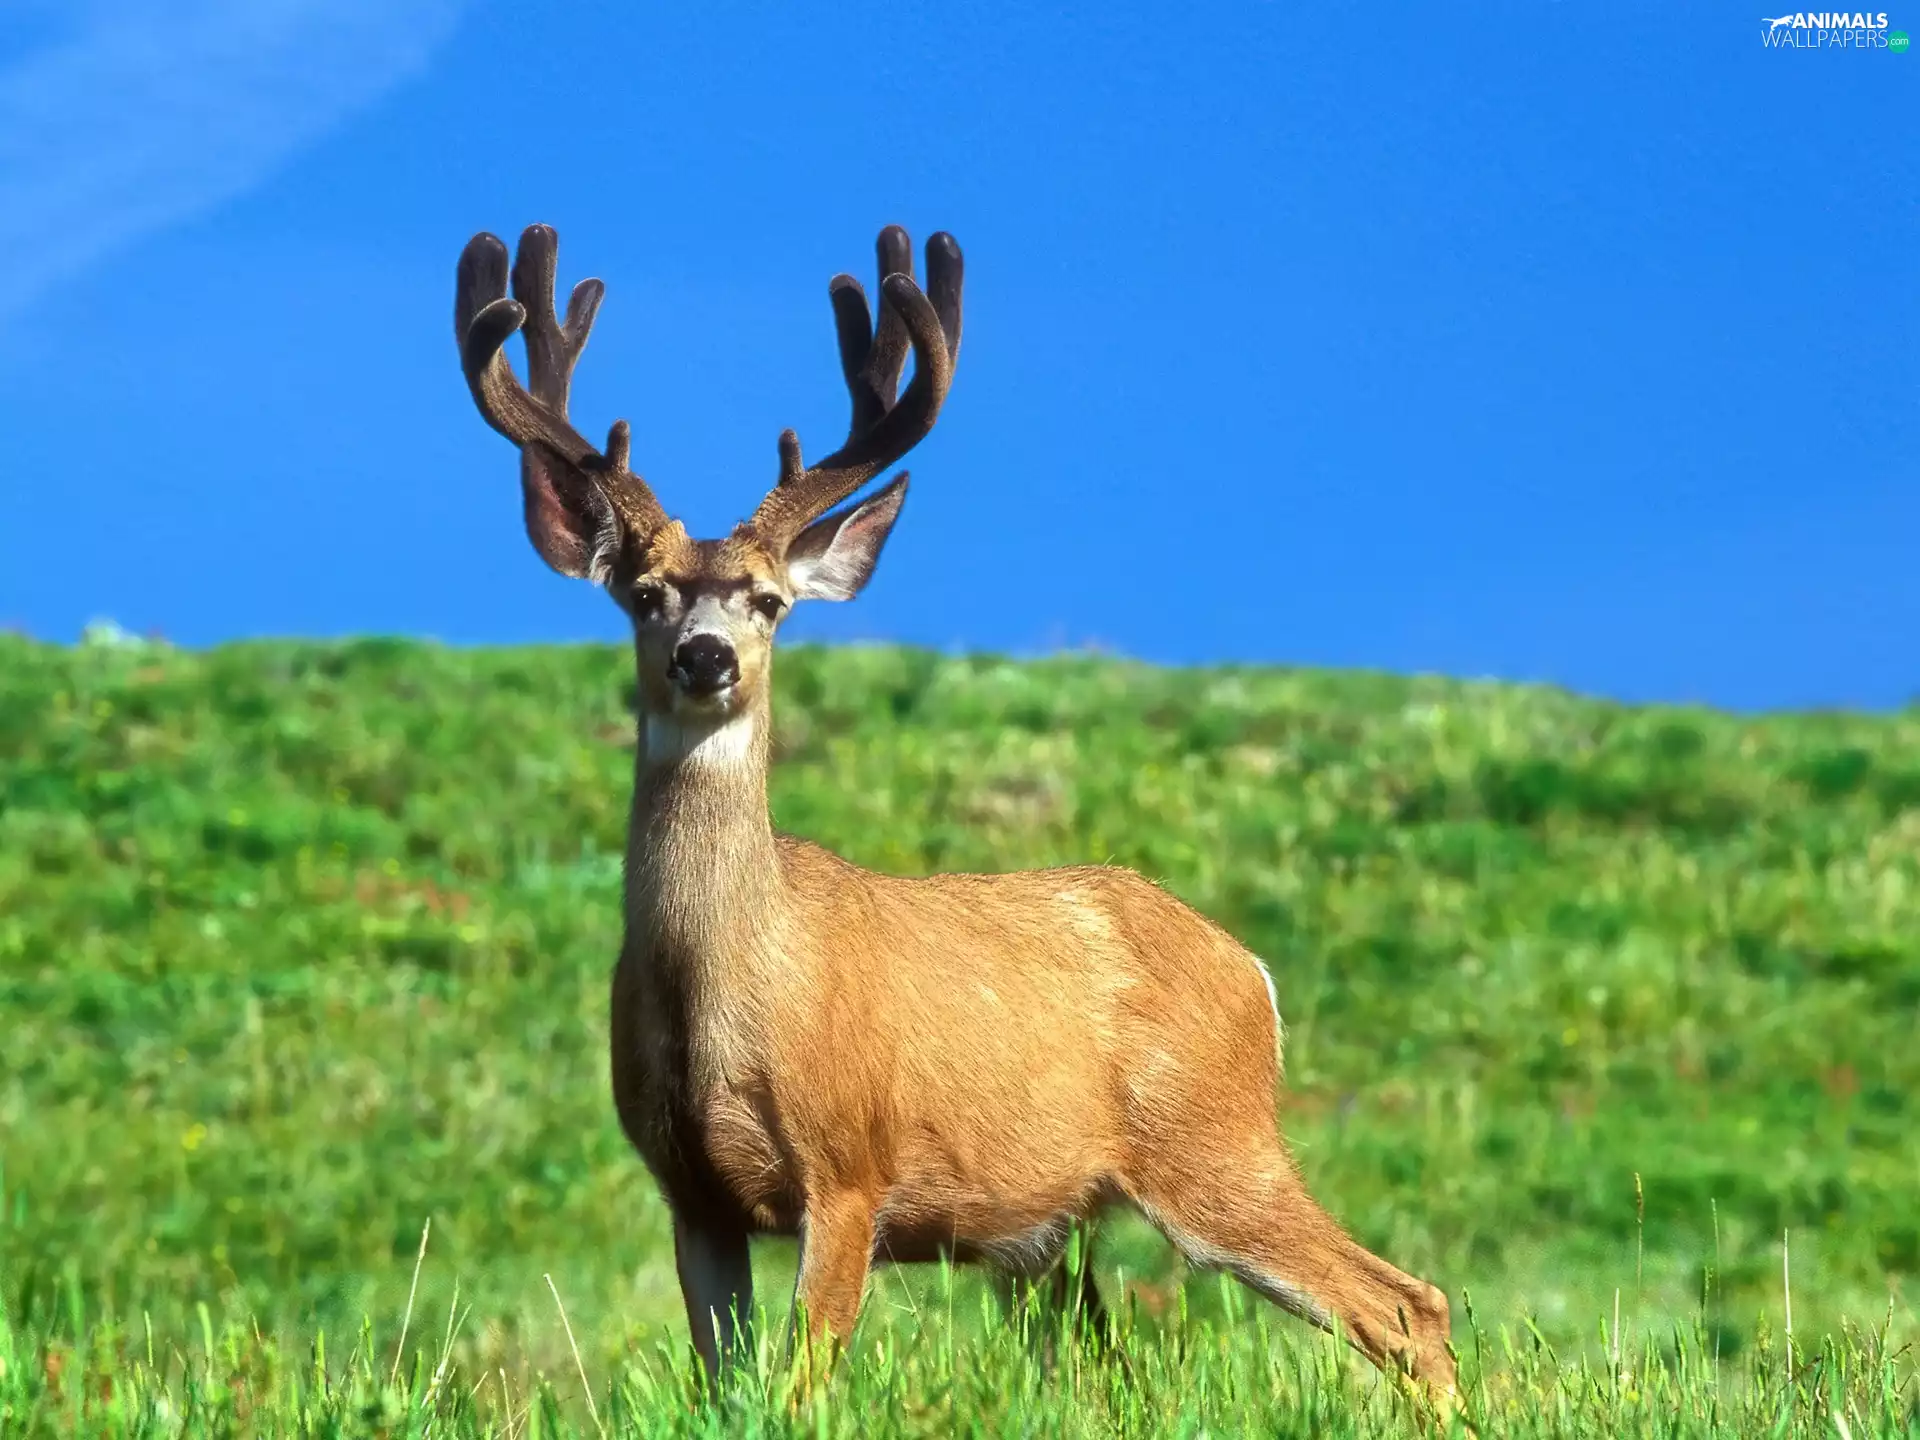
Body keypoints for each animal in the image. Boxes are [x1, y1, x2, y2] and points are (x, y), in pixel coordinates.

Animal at [452, 221, 1462, 1417]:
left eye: (769, 602)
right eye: (644, 594)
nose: (705, 658)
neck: (727, 984)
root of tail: (1249, 972)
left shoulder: (850, 1166)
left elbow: (801, 1390)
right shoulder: (689, 1191)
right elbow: (727, 1387)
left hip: (1213, 1143)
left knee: (1405, 1303)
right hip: (1049, 1235)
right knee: (1114, 1368)